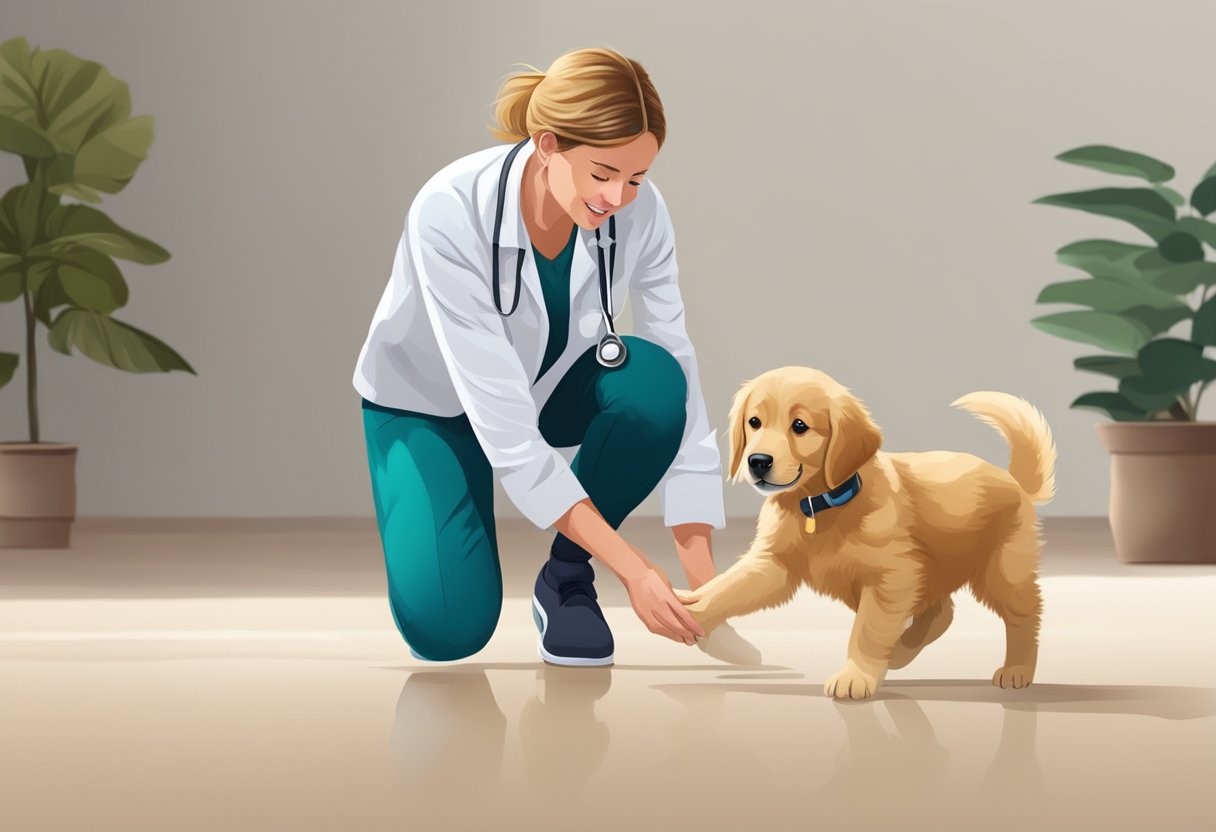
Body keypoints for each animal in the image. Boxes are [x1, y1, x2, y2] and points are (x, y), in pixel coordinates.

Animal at [676, 367, 1055, 700]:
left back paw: (1017, 670)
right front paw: (688, 609)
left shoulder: (891, 577)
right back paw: (901, 652)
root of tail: (1014, 481)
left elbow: (868, 630)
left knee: (1024, 614)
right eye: (754, 422)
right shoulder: (774, 565)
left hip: (1001, 570)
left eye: (800, 426)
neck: (817, 505)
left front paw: (855, 677)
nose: (757, 461)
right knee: (941, 612)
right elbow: (727, 589)